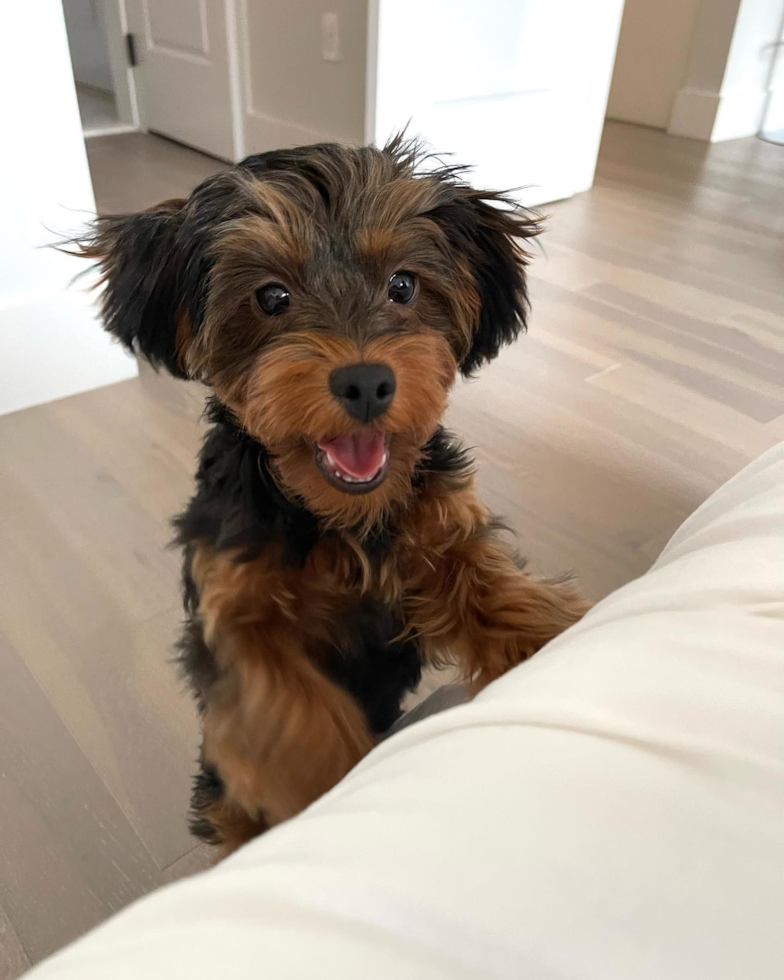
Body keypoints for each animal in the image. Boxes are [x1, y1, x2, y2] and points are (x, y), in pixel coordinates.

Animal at [75, 134, 588, 852]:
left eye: (403, 285)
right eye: (270, 297)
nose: (366, 382)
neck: (335, 516)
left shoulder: (439, 524)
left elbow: (487, 583)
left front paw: (553, 643)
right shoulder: (232, 596)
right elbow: (281, 697)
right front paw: (329, 796)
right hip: (219, 791)